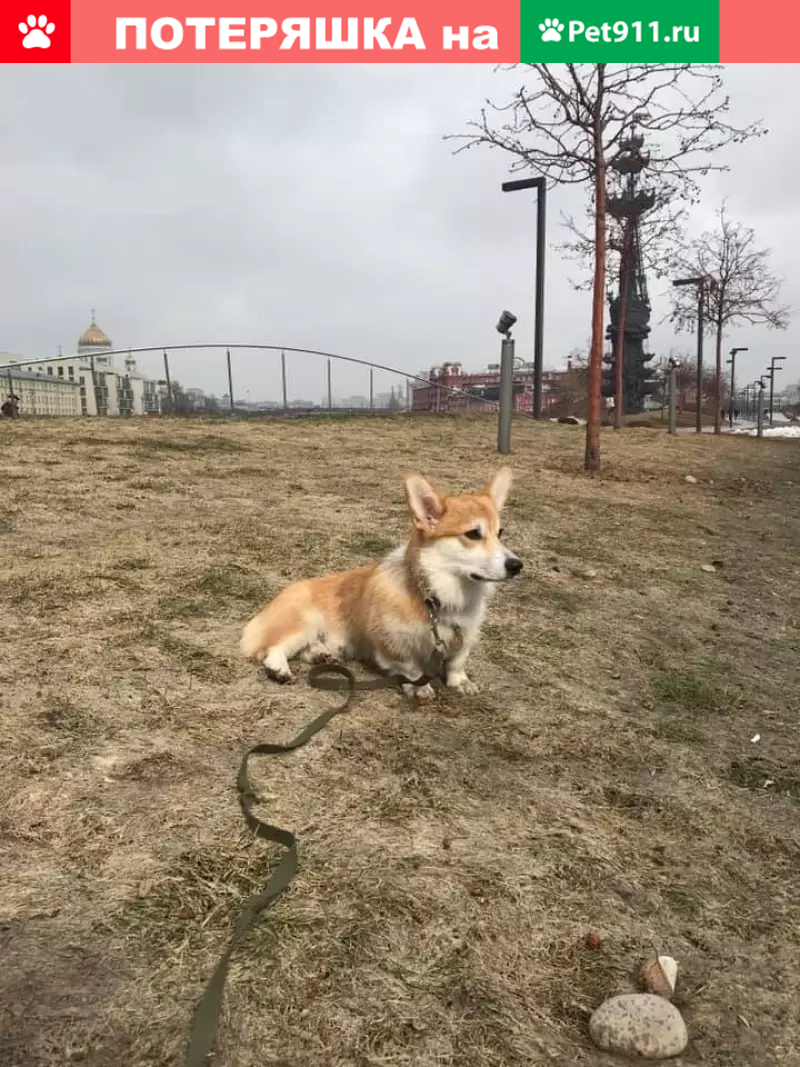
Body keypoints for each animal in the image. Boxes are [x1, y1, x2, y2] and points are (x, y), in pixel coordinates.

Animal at [241, 467, 522, 699]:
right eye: (473, 534)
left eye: (500, 533)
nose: (517, 565)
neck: (438, 596)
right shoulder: (391, 645)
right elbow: (410, 667)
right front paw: (418, 686)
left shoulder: (465, 634)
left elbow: (457, 661)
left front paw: (460, 682)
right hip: (304, 622)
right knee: (270, 648)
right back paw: (279, 669)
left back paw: (322, 654)